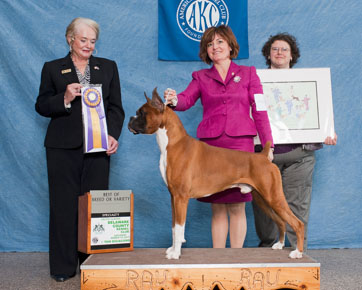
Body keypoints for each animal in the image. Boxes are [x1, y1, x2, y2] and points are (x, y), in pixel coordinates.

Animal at [129, 87, 304, 260]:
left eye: (142, 113)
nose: (130, 118)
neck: (173, 142)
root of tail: (263, 156)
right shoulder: (173, 197)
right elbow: (174, 227)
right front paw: (172, 249)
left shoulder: (180, 197)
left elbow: (179, 228)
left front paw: (176, 253)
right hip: (263, 200)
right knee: (281, 221)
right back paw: (279, 245)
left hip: (274, 197)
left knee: (297, 223)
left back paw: (297, 252)